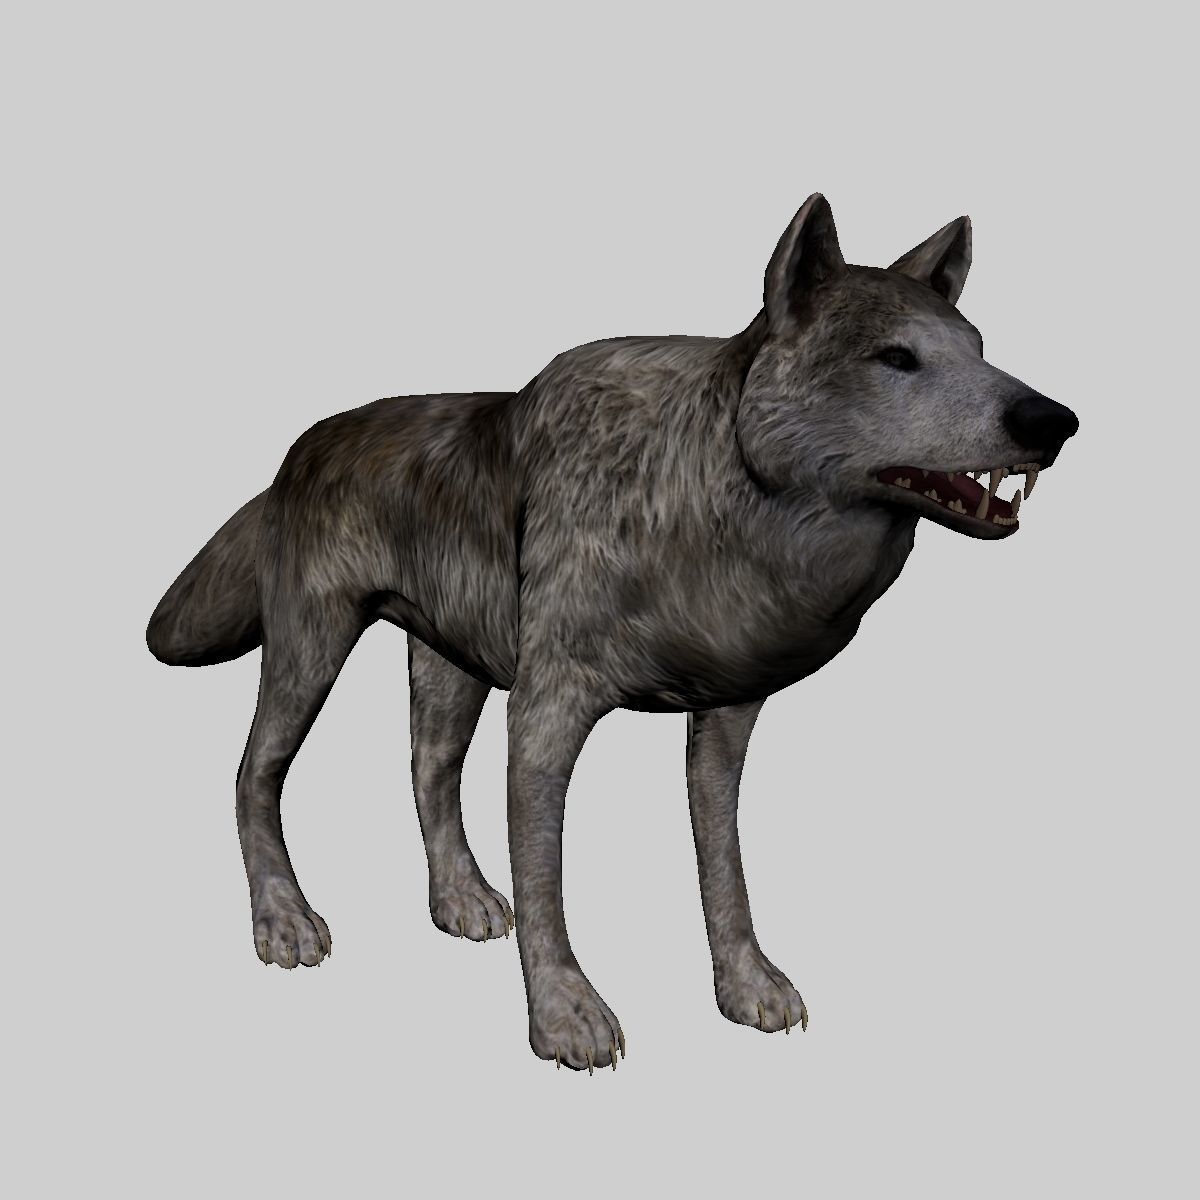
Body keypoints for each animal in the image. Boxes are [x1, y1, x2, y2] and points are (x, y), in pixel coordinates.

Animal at [147, 194, 1079, 1073]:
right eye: (896, 358)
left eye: (979, 349)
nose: (1054, 421)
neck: (701, 498)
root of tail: (299, 449)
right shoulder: (545, 712)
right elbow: (547, 878)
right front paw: (565, 1017)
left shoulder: (727, 718)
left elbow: (723, 866)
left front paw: (746, 985)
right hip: (312, 650)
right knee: (254, 771)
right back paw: (283, 918)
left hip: (452, 665)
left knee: (427, 771)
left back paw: (461, 900)